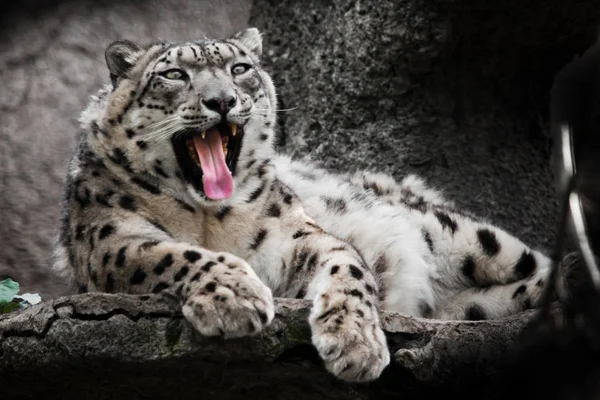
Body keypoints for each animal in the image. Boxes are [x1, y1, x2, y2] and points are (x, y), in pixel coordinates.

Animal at [52, 28, 552, 384]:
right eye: (174, 74)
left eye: (240, 67)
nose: (222, 100)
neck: (209, 216)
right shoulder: (111, 240)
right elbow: (175, 254)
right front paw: (236, 296)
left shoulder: (295, 235)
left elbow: (347, 266)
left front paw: (355, 343)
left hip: (457, 233)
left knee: (532, 260)